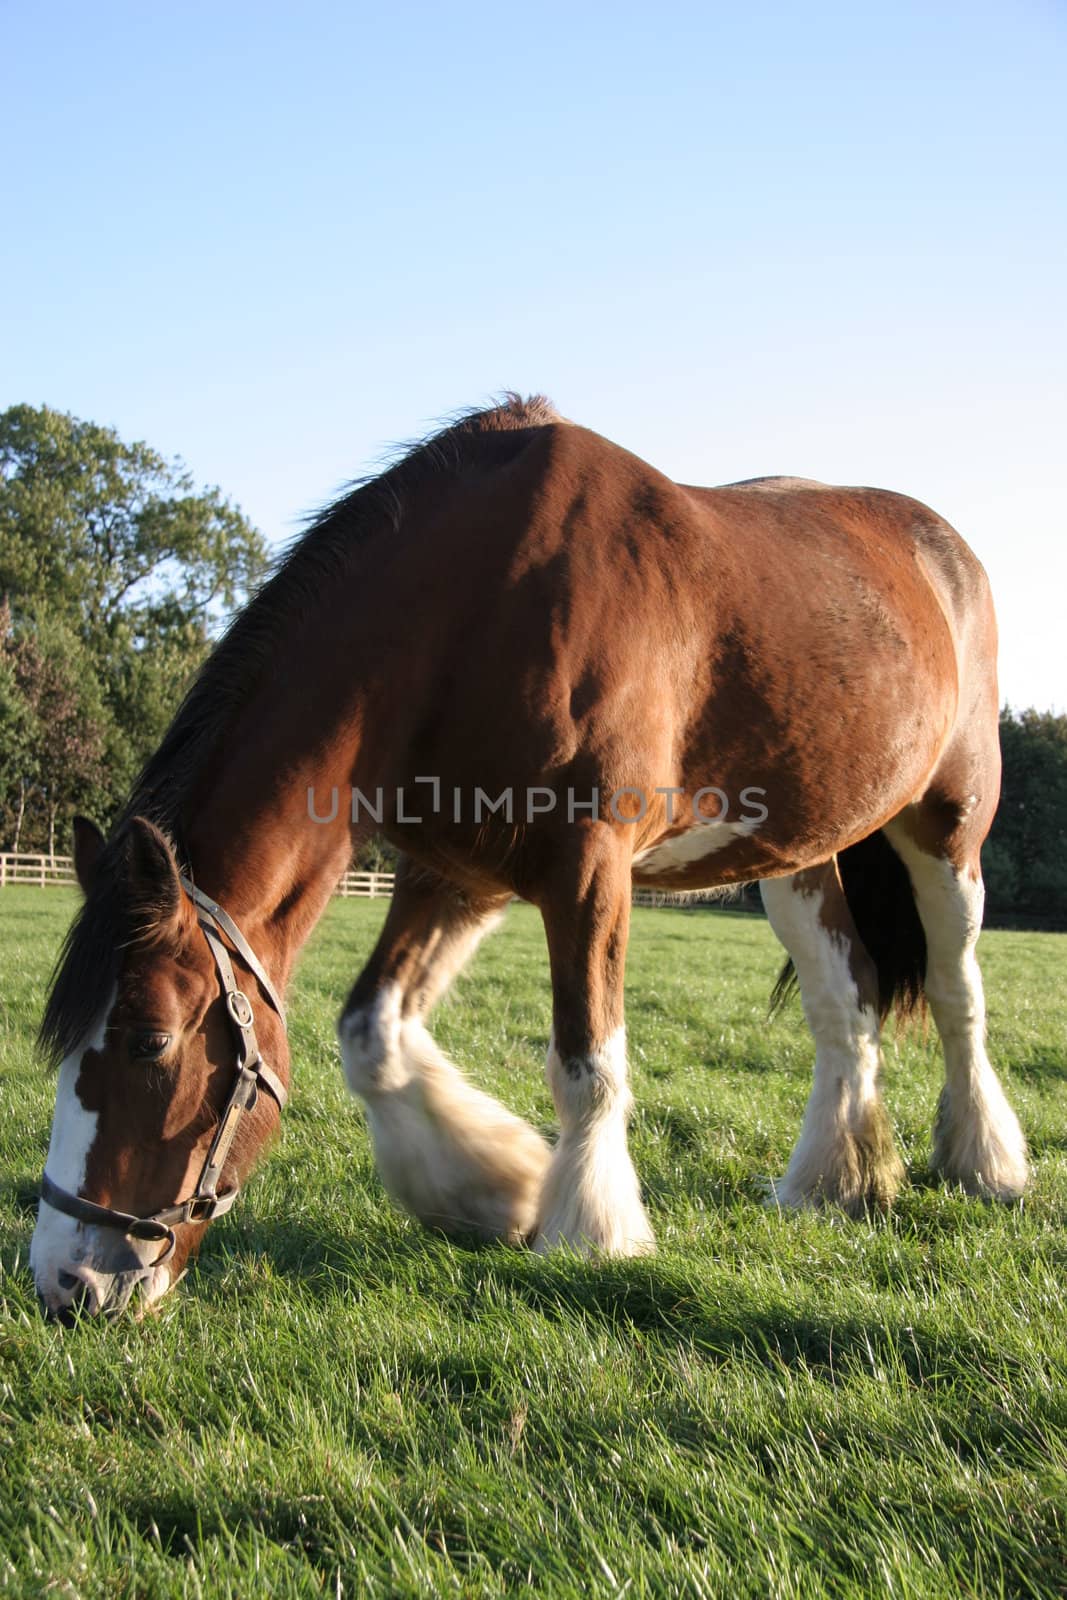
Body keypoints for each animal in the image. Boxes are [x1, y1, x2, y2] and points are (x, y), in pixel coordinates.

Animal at [29, 393, 1023, 1318]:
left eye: (151, 1040)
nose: (68, 1283)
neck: (473, 607)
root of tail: (943, 550)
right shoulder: (456, 872)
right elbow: (372, 1033)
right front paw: (493, 1188)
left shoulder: (587, 870)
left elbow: (587, 1063)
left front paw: (590, 1228)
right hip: (793, 855)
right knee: (845, 1001)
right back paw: (831, 1181)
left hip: (945, 831)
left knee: (954, 991)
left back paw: (985, 1162)